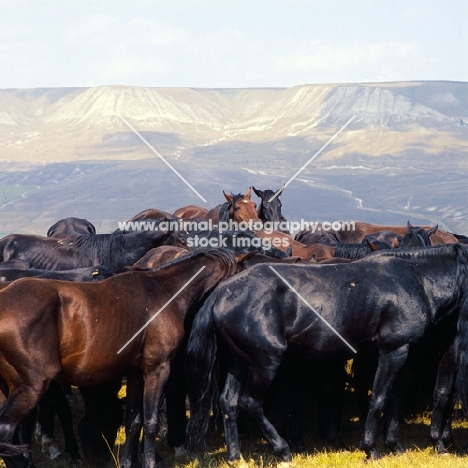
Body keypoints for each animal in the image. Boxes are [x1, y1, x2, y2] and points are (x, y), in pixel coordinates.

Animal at [0, 247, 241, 466]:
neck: (166, 291)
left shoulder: (135, 374)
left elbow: (134, 422)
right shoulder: (157, 369)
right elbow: (150, 422)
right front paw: (150, 462)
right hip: (31, 388)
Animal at [184, 245, 468, 460]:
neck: (415, 279)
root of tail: (220, 293)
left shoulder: (404, 354)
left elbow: (394, 401)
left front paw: (395, 446)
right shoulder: (392, 351)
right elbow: (378, 399)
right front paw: (371, 449)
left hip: (240, 363)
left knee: (228, 403)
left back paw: (236, 457)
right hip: (266, 362)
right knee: (250, 402)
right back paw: (283, 450)